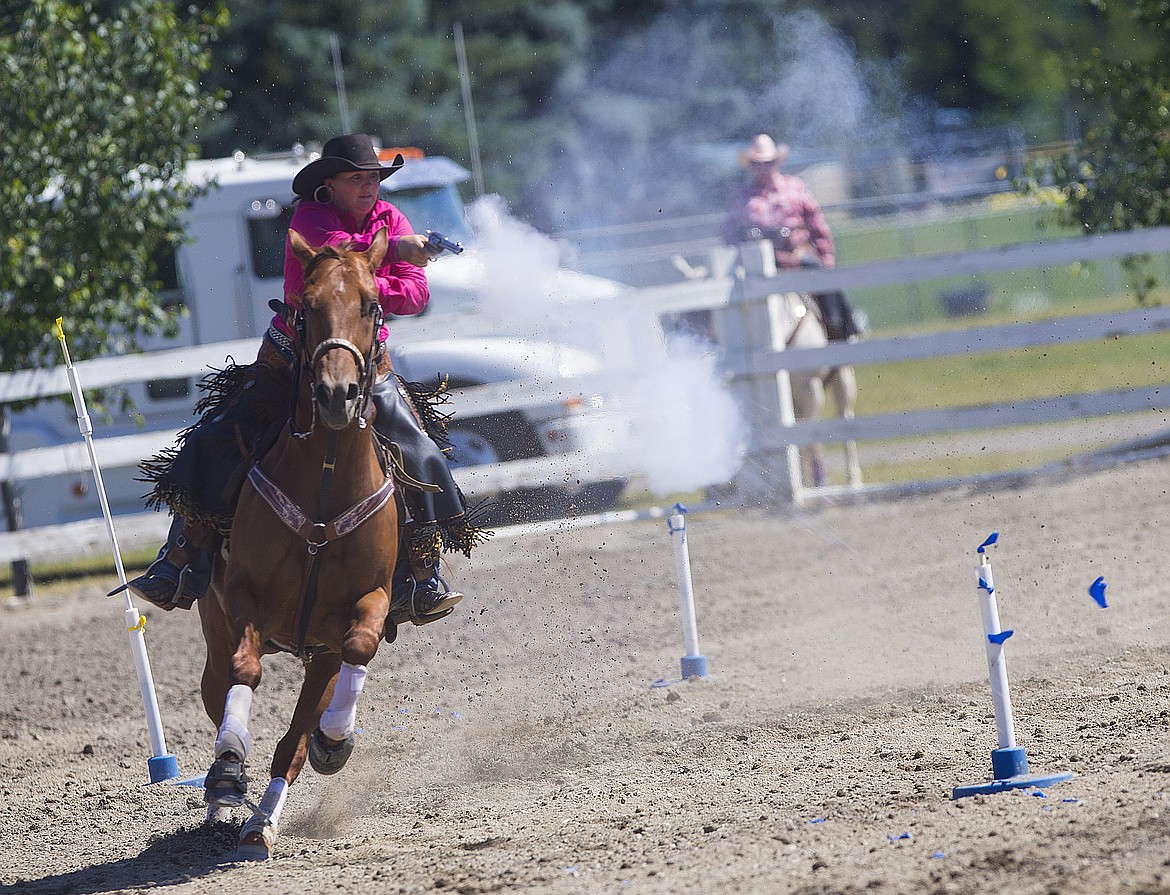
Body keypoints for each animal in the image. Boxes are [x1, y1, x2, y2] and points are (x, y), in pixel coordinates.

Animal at [200, 228, 397, 861]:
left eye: (371, 304)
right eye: (304, 307)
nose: (337, 393)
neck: (326, 482)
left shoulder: (369, 600)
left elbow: (360, 646)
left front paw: (335, 740)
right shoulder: (243, 598)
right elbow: (245, 670)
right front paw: (229, 765)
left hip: (320, 656)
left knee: (293, 741)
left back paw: (264, 819)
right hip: (213, 625)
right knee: (220, 685)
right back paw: (226, 801)